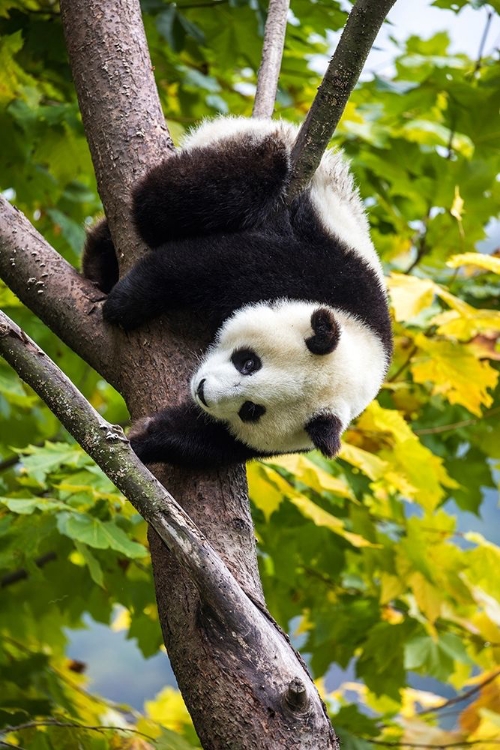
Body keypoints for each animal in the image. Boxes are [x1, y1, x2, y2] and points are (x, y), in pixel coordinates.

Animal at [84, 117, 392, 470]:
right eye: (248, 362)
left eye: (251, 410)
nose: (203, 390)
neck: (362, 335)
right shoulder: (327, 276)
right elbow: (215, 265)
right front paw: (125, 304)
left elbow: (212, 441)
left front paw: (147, 439)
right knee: (189, 196)